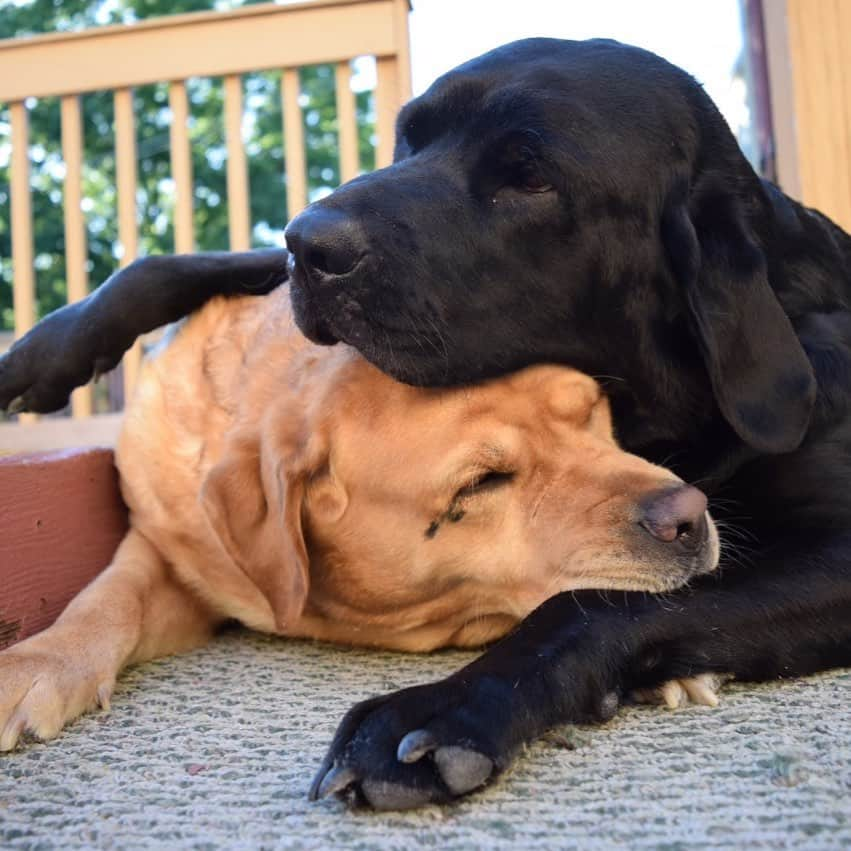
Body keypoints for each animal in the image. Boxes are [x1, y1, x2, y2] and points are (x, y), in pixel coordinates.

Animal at [1, 38, 851, 812]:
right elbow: (195, 264)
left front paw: (442, 710)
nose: (308, 237)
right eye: (409, 139)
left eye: (530, 177)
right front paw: (48, 349)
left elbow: (595, 605)